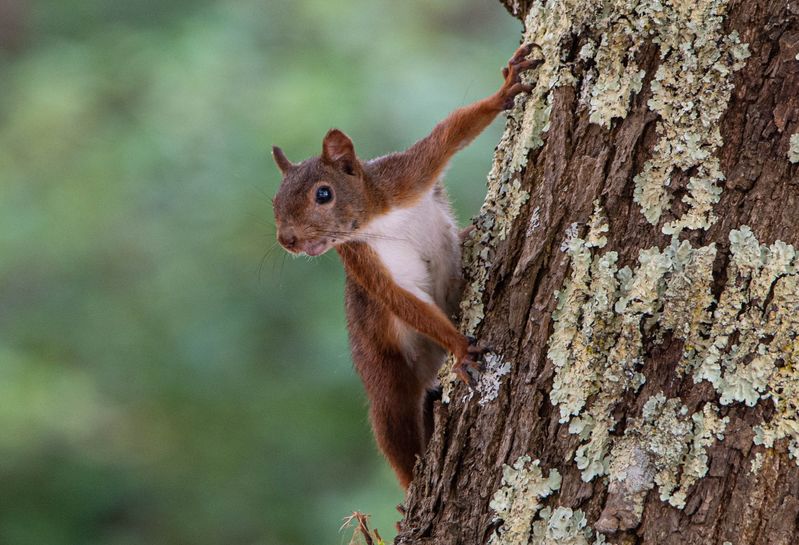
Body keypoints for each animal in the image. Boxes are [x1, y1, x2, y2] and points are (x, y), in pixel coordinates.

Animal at [272, 45, 540, 488]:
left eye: (323, 194)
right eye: (275, 202)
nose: (286, 239)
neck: (377, 219)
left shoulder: (407, 176)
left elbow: (450, 132)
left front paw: (502, 92)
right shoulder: (364, 261)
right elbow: (402, 300)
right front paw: (460, 347)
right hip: (386, 377)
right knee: (394, 428)